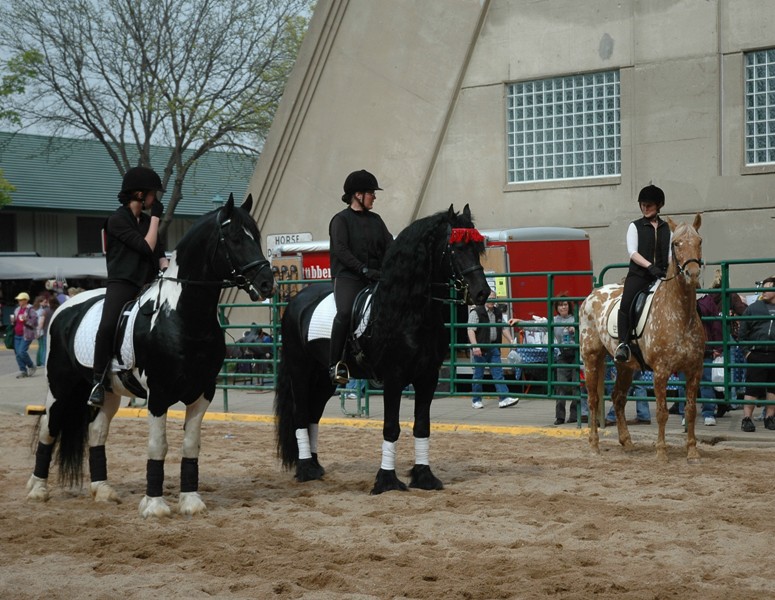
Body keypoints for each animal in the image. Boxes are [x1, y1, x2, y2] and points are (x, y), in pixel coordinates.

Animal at [26, 193, 275, 517]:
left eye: (255, 236)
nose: (267, 282)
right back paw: (37, 490)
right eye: (234, 238)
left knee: (96, 432)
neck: (182, 318)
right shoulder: (158, 394)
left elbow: (190, 445)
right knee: (48, 430)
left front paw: (191, 501)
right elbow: (159, 446)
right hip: (59, 388)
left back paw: (102, 490)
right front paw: (155, 505)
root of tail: (63, 308)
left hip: (108, 392)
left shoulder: (203, 393)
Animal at [275, 205, 491, 494]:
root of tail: (296, 301)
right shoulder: (394, 377)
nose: (482, 293)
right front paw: (386, 480)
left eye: (477, 247)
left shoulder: (427, 378)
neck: (409, 313)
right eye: (455, 248)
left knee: (313, 414)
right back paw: (305, 469)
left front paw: (424, 476)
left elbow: (422, 427)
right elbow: (391, 428)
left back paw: (316, 465)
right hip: (300, 370)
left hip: (325, 378)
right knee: (300, 414)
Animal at [579, 214, 704, 462]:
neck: (680, 315)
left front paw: (692, 451)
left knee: (617, 398)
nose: (692, 274)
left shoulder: (694, 370)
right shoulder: (661, 371)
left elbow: (691, 410)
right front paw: (661, 452)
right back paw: (594, 446)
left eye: (699, 241)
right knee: (593, 400)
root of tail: (592, 295)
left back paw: (627, 442)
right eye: (676, 243)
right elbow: (662, 412)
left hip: (625, 366)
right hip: (591, 357)